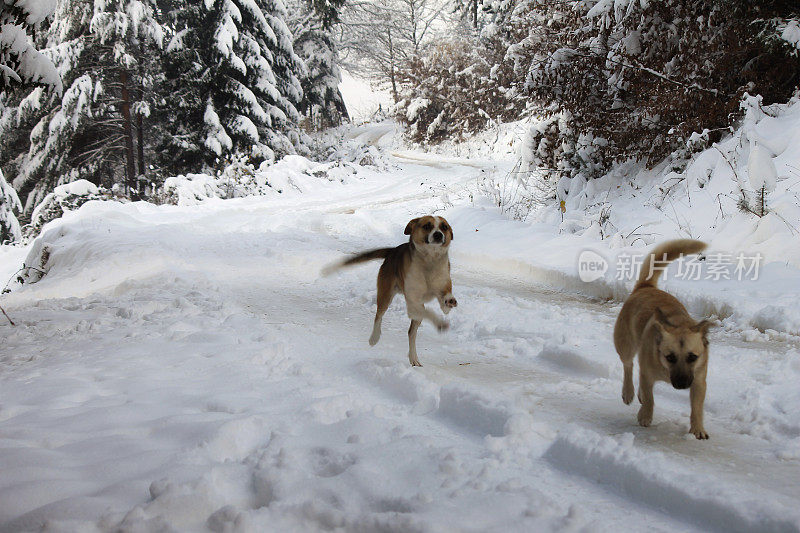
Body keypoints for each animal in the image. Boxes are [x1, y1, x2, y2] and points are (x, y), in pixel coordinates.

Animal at [320, 216, 456, 366]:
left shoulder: (442, 285)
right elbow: (428, 312)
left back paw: (413, 358)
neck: (430, 261)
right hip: (385, 295)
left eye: (444, 227)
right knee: (379, 316)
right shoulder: (413, 302)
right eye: (427, 226)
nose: (438, 235)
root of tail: (392, 251)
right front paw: (440, 323)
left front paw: (448, 302)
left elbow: (444, 300)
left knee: (411, 333)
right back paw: (374, 338)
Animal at [612, 239, 712, 438]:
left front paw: (698, 429)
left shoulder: (698, 380)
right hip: (625, 345)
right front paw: (645, 416)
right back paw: (629, 392)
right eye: (670, 357)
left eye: (693, 357)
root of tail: (645, 287)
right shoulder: (648, 374)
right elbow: (650, 398)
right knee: (628, 366)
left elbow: (697, 407)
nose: (681, 384)